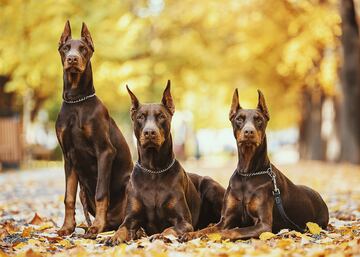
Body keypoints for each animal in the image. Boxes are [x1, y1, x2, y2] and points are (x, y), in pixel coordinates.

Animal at [55, 21, 134, 237]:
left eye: (83, 48)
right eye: (66, 48)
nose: (72, 59)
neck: (77, 101)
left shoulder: (105, 151)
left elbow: (101, 192)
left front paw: (97, 226)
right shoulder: (68, 156)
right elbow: (68, 197)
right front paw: (67, 227)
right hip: (85, 192)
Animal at [107, 81, 225, 243]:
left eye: (161, 116)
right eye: (140, 117)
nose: (149, 132)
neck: (154, 171)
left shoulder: (184, 221)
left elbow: (169, 229)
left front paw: (161, 235)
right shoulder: (130, 218)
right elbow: (121, 228)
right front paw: (114, 237)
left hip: (210, 186)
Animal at [181, 89, 328, 240]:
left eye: (258, 119)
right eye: (239, 119)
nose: (249, 132)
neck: (248, 174)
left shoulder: (263, 225)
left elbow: (231, 231)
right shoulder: (225, 219)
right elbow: (208, 229)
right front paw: (191, 234)